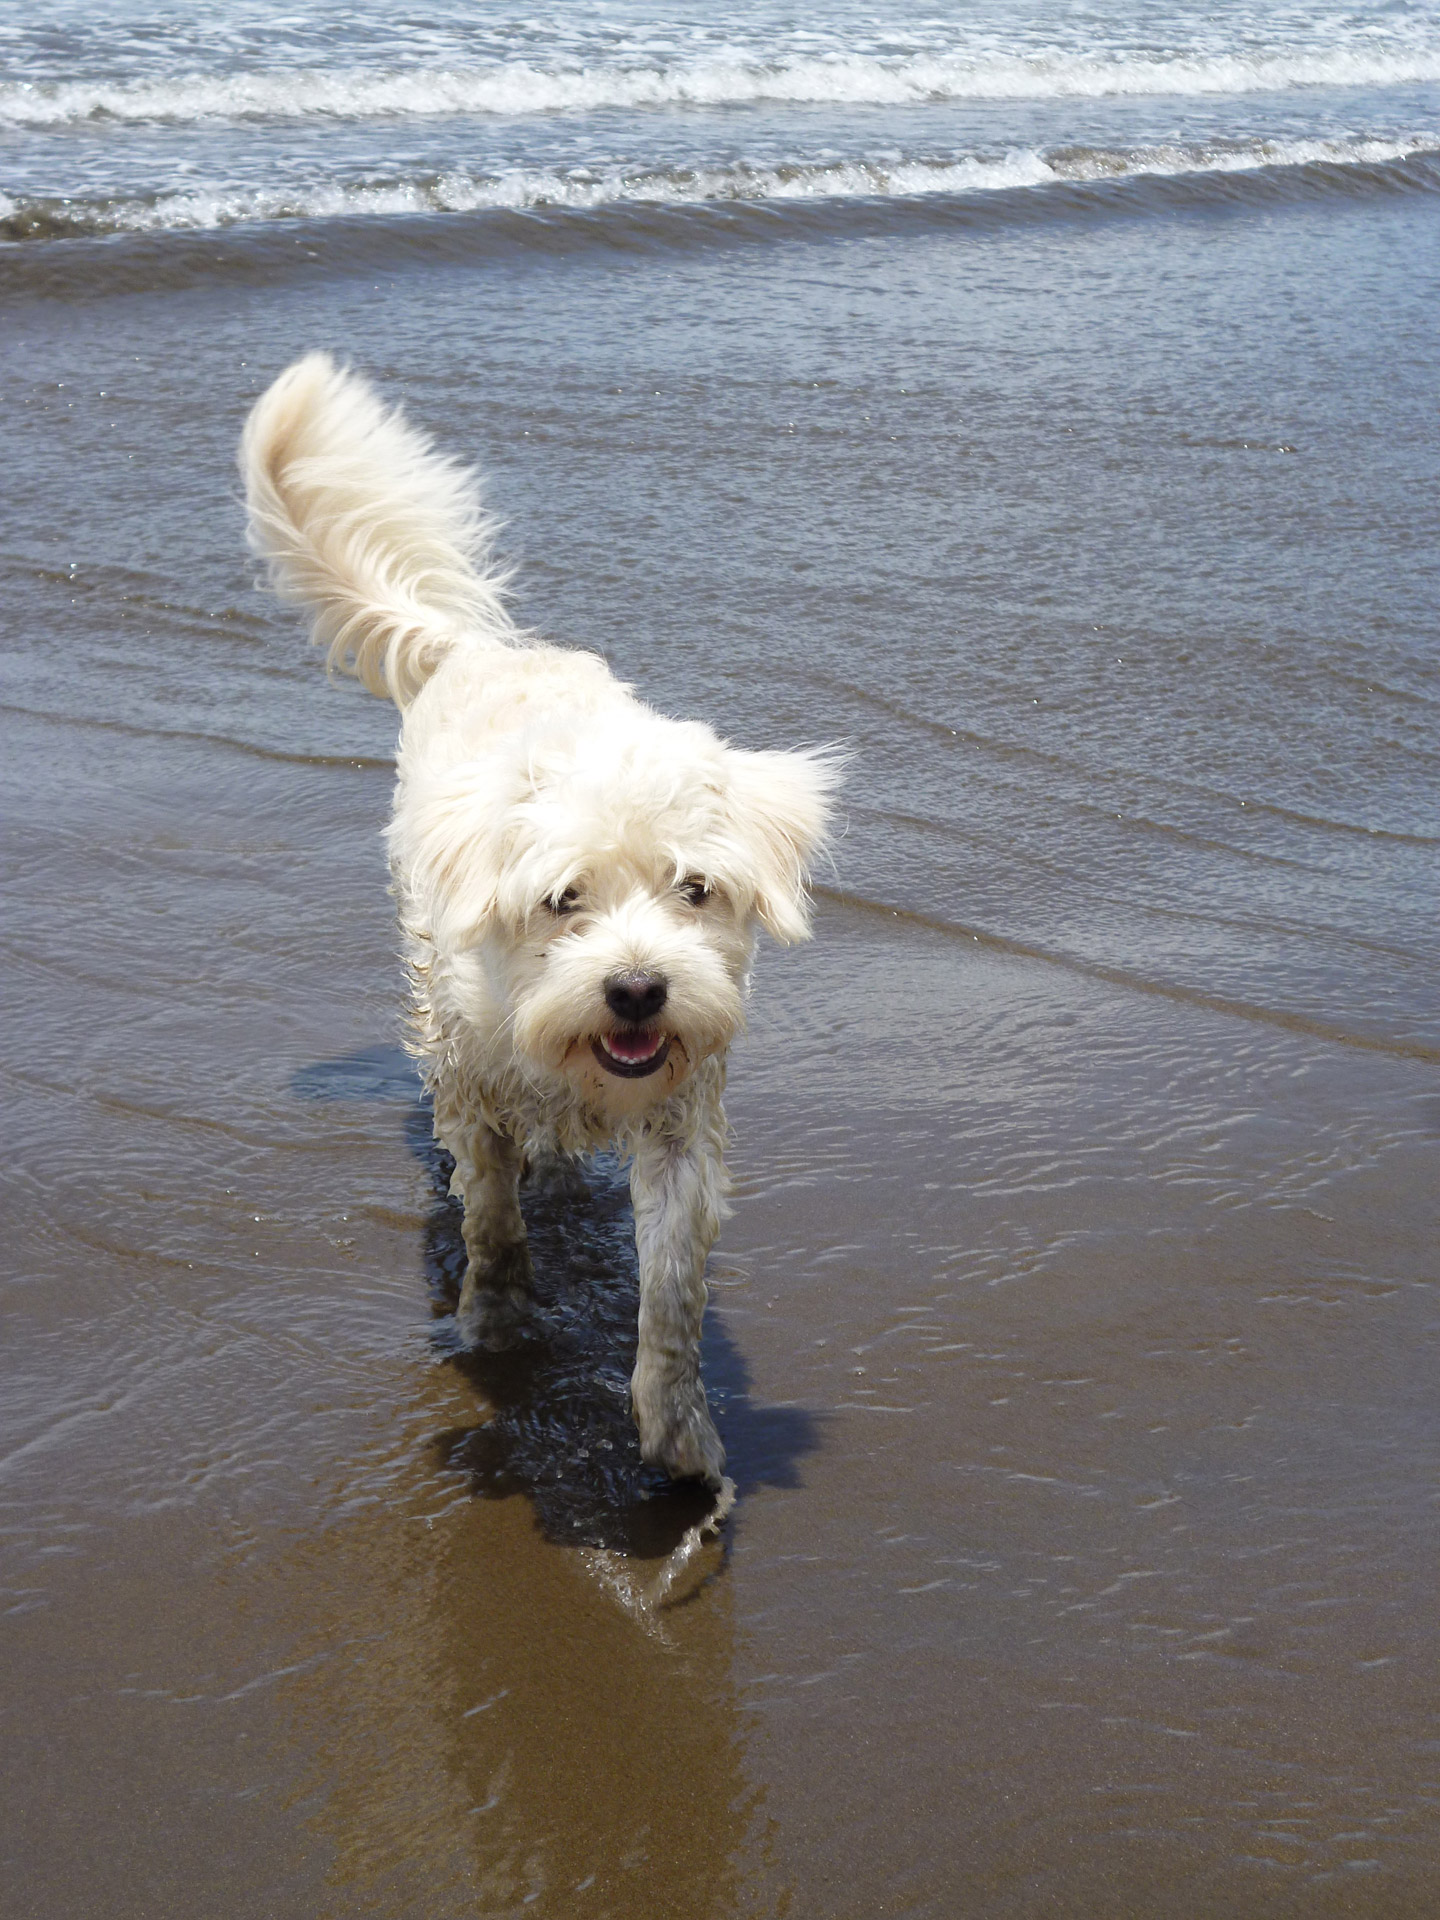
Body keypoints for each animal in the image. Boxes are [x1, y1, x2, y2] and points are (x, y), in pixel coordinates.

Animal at [242, 360, 840, 1489]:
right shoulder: (472, 1080)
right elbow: (488, 1212)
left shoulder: (683, 1119)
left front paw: (677, 1428)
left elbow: (672, 1285)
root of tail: (471, 649)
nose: (638, 989)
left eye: (696, 888)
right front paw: (497, 1321)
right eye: (565, 899)